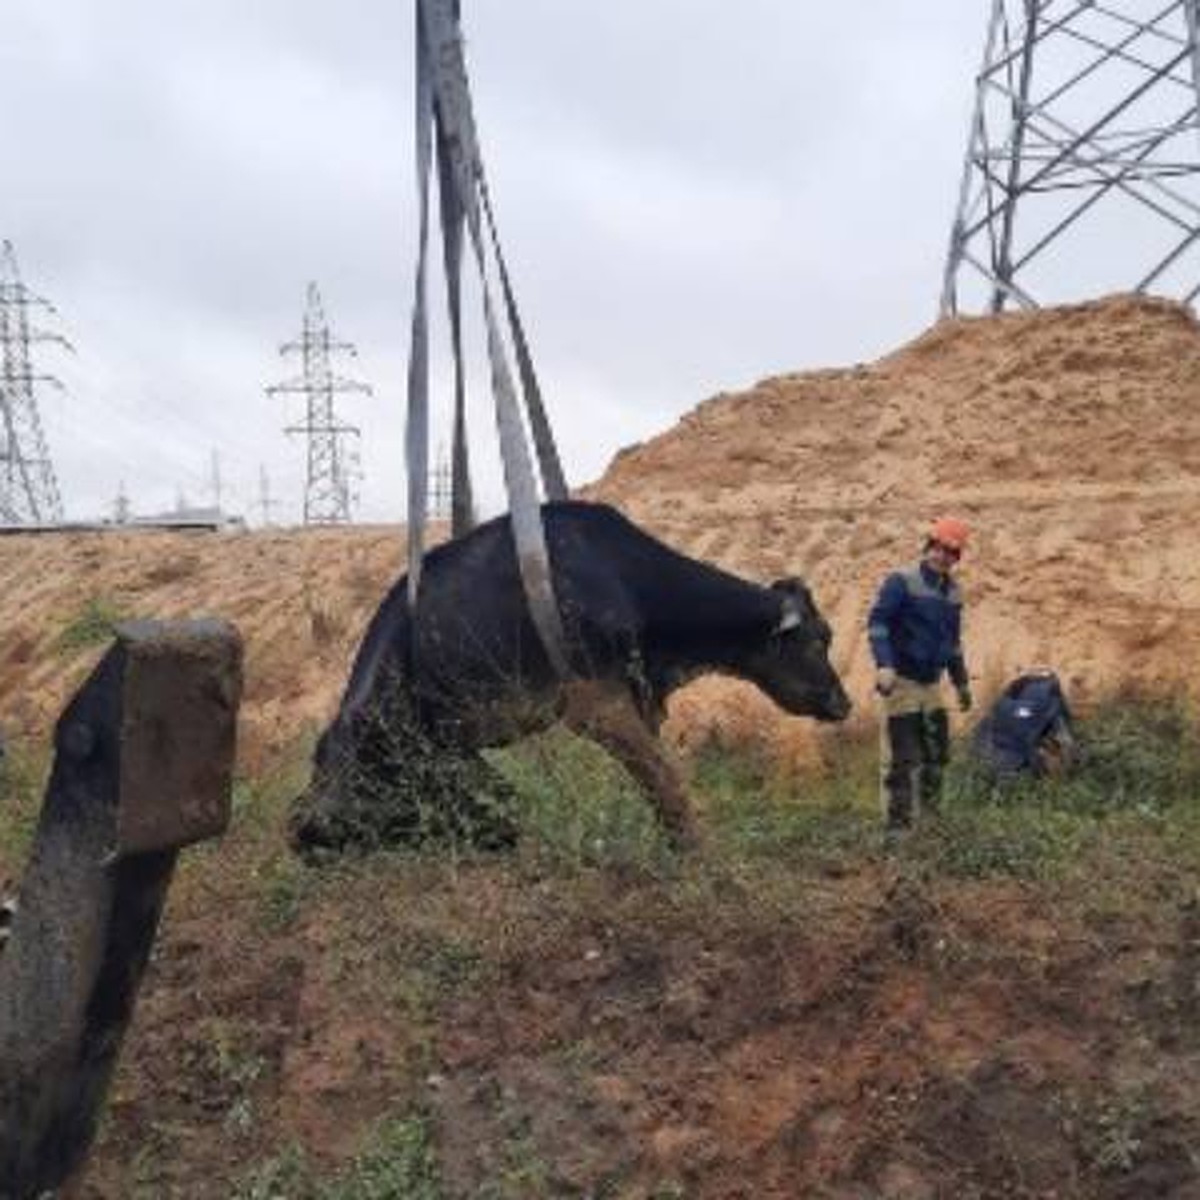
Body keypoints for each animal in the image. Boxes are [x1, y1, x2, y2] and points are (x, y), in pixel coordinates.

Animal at [294, 496, 849, 854]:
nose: (843, 703)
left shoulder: (638, 698)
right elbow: (664, 777)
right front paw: (700, 852)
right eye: (818, 639)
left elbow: (658, 777)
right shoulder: (593, 701)